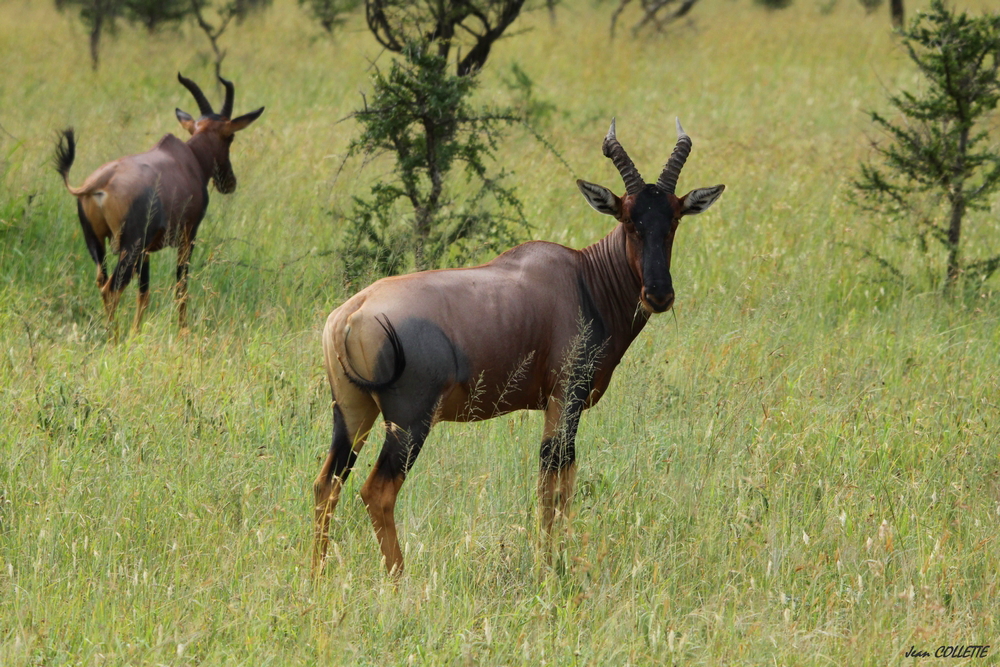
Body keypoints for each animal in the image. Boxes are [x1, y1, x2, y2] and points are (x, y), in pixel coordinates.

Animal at [54, 72, 264, 332]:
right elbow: (181, 287)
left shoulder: (146, 249)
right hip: (129, 247)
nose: (229, 182)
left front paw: (136, 333)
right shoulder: (188, 236)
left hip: (97, 242)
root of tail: (99, 181)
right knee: (112, 288)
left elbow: (144, 294)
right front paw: (183, 331)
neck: (187, 158)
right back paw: (114, 338)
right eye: (231, 136)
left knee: (102, 281)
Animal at [310, 117, 720, 576]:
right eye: (629, 218)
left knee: (327, 484)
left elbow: (558, 483)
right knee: (377, 491)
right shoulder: (565, 399)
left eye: (674, 218)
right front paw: (551, 567)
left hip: (352, 412)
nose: (659, 294)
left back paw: (317, 576)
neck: (584, 278)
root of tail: (352, 313)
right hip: (409, 420)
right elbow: (554, 485)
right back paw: (400, 580)